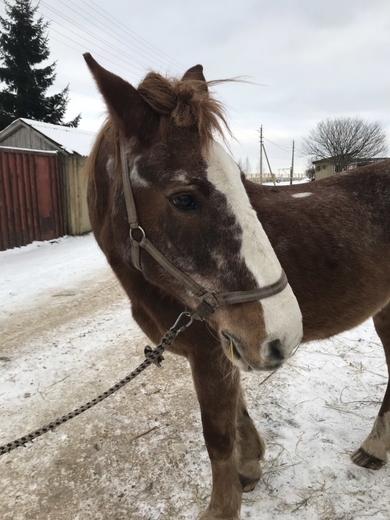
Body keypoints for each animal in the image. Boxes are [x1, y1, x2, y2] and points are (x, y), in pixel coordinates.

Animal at [83, 53, 390, 520]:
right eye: (184, 198)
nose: (286, 334)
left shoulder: (212, 353)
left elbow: (218, 437)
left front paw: (222, 506)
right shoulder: (229, 346)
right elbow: (238, 414)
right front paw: (250, 467)